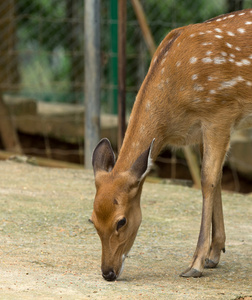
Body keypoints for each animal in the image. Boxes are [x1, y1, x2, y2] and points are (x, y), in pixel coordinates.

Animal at [89, 9, 251, 282]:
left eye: (121, 221)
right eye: (92, 220)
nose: (108, 272)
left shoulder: (220, 113)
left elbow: (208, 180)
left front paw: (195, 264)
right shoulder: (200, 131)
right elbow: (217, 179)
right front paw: (214, 254)